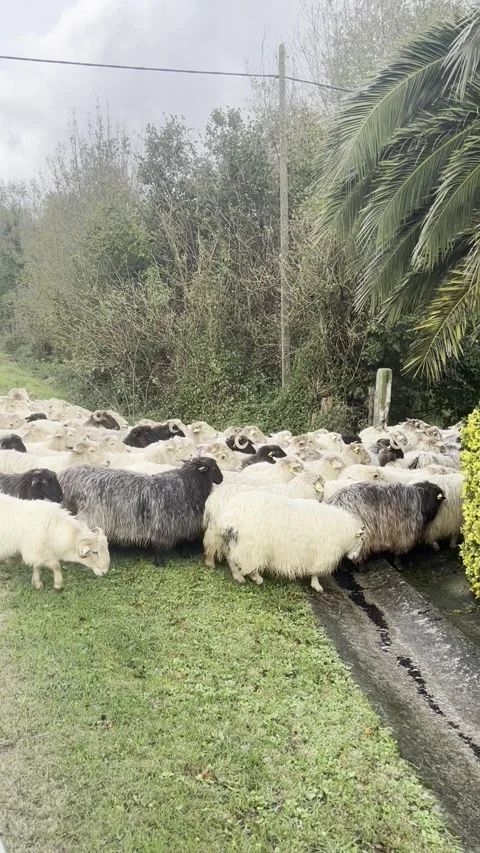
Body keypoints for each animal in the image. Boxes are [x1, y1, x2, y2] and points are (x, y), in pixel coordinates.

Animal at [58, 457, 223, 565]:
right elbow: (163, 545)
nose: (221, 479)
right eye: (214, 467)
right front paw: (160, 562)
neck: (187, 485)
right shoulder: (166, 524)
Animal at [211, 493, 365, 591]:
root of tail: (227, 516)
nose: (355, 557)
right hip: (251, 545)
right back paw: (255, 578)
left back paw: (239, 577)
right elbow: (315, 571)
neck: (343, 532)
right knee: (244, 561)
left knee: (231, 559)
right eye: (362, 539)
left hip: (236, 542)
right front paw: (317, 586)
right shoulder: (321, 553)